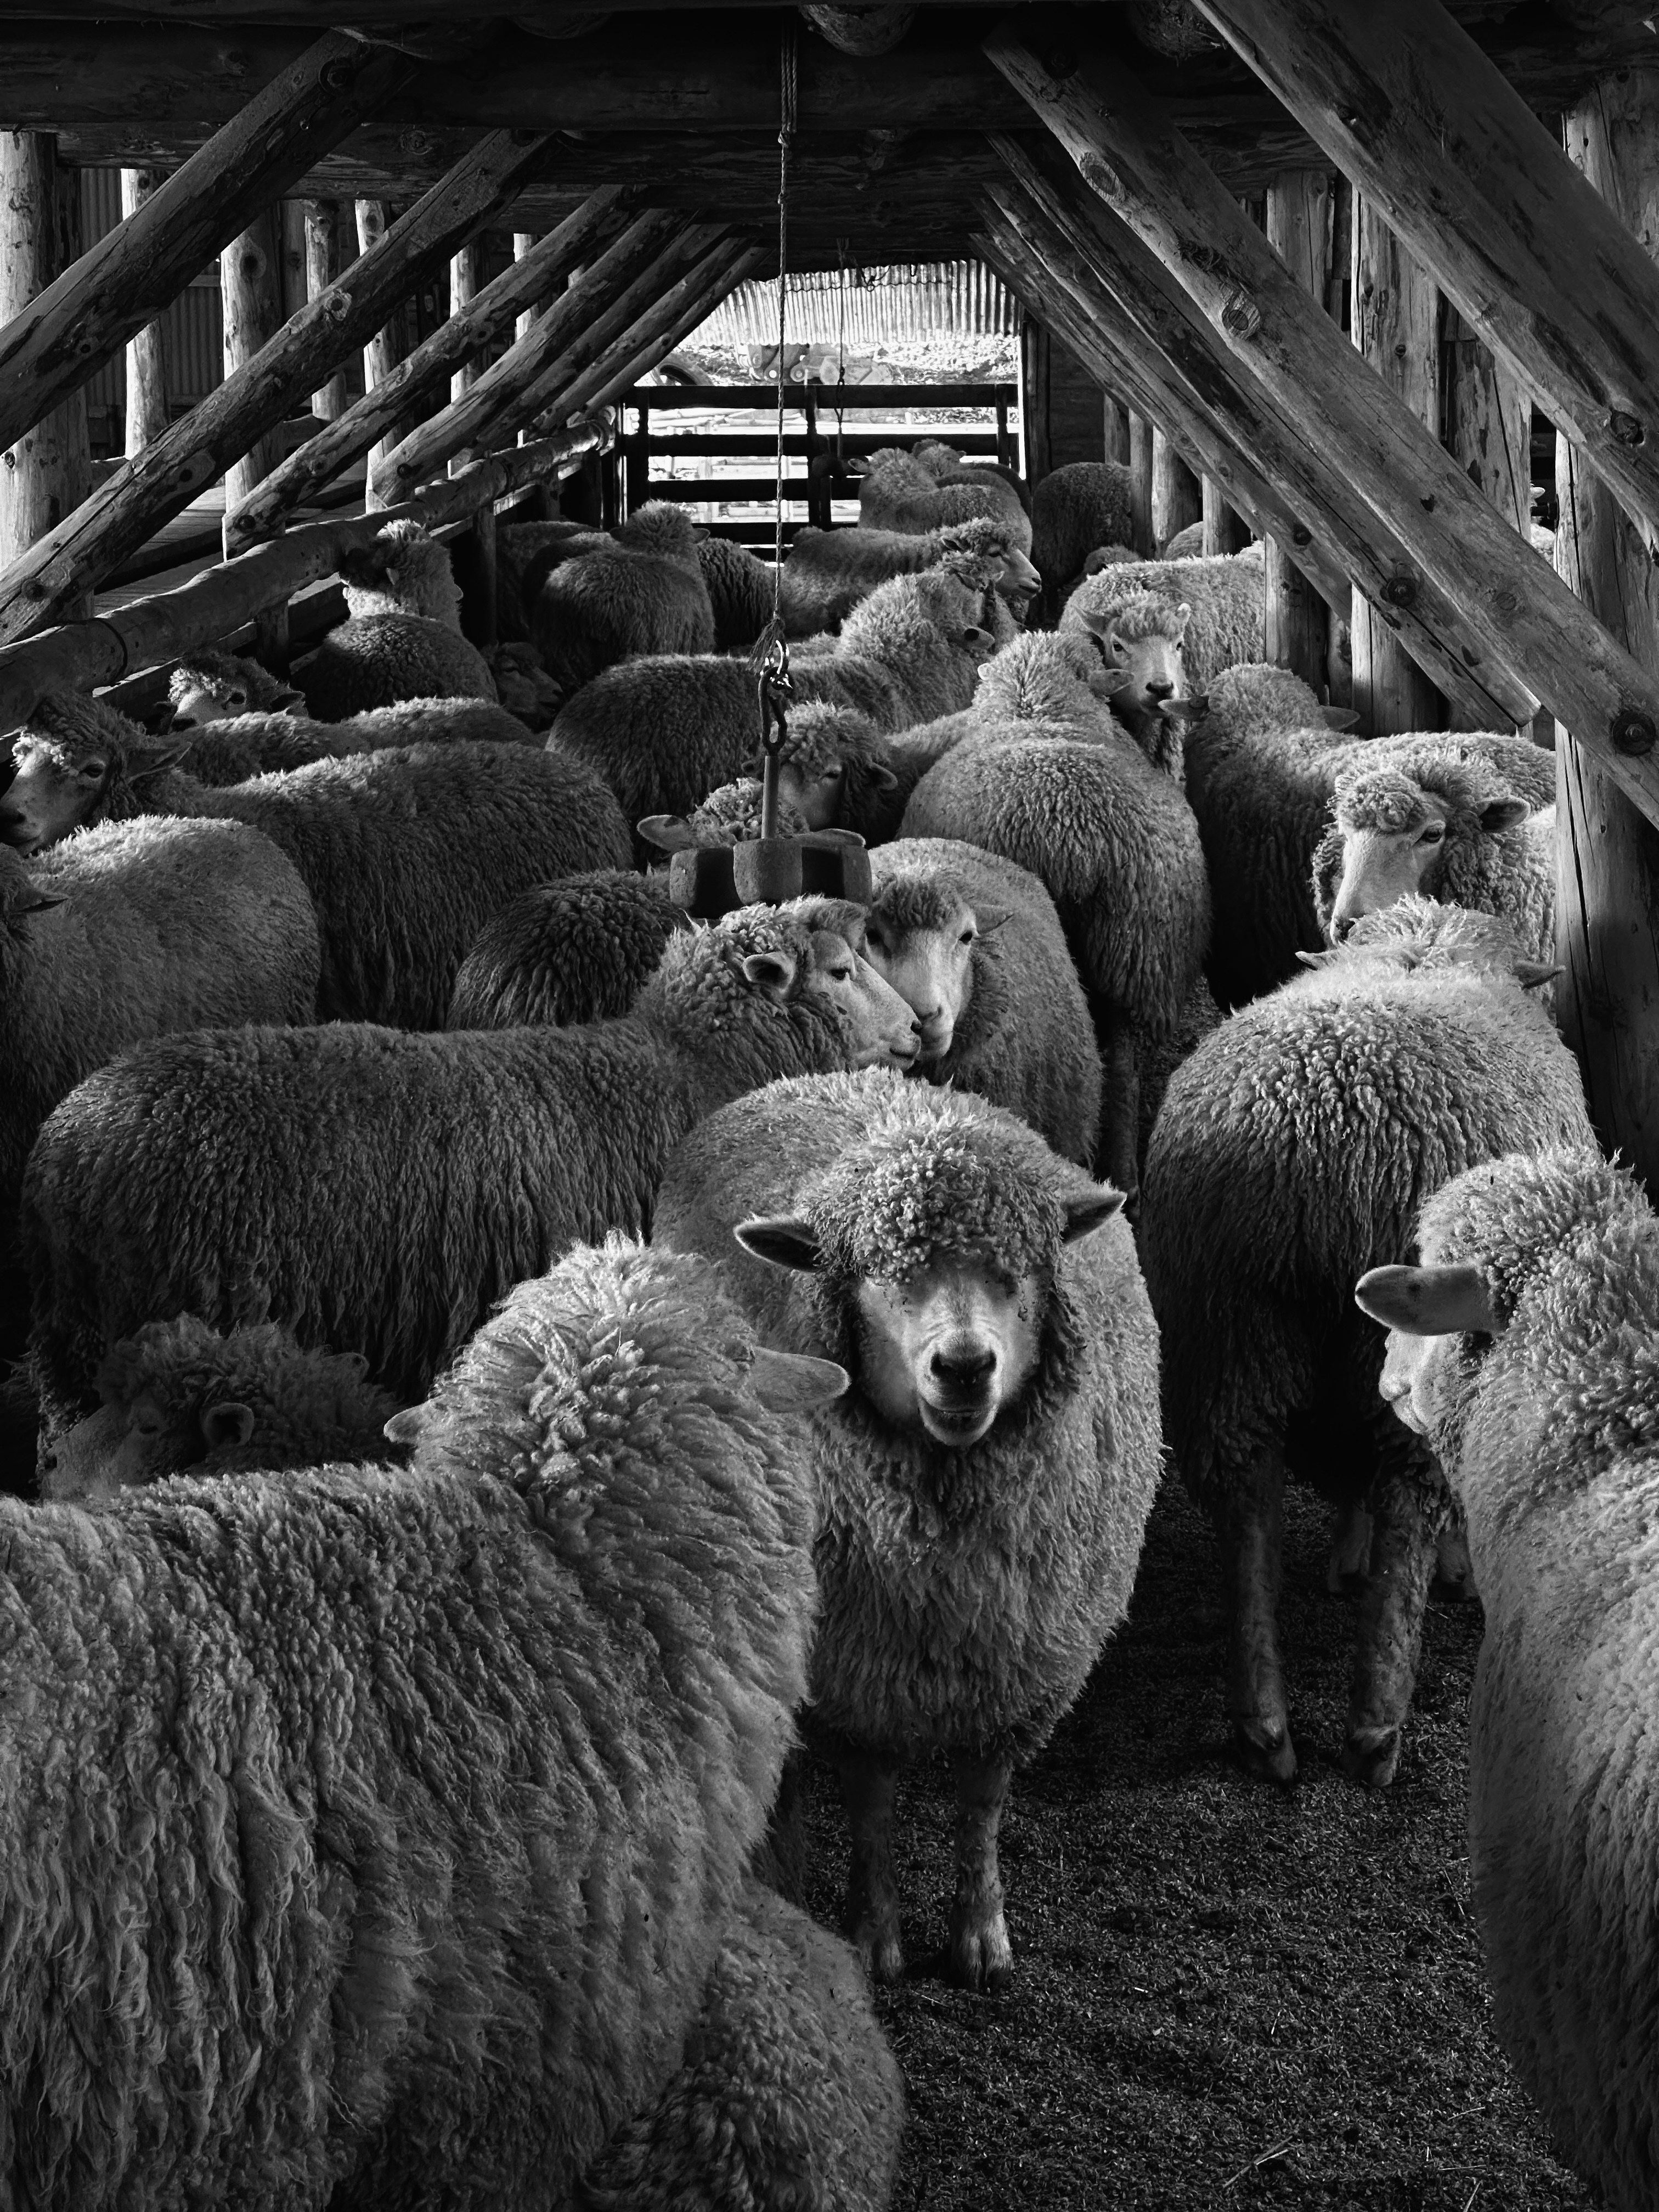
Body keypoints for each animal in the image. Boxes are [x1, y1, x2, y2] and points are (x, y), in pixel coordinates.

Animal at [654, 1071, 1162, 1990]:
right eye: (879, 1277)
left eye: (1012, 1275)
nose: (962, 1367)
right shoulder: (856, 1672)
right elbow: (871, 1804)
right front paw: (874, 1936)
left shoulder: (1019, 1669)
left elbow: (982, 1805)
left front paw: (981, 1934)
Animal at [902, 630, 1212, 1194]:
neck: (1037, 709)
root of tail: (1067, 838)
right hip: (1132, 948)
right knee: (1123, 1063)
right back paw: (1123, 1176)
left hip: (1128, 948)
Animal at [1138, 899, 1592, 1789]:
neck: (1424, 954)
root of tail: (1324, 1142)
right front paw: (1434, 1569)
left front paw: (1346, 1558)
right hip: (1391, 1336)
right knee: (1408, 1505)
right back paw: (1376, 1729)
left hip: (1229, 1331)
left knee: (1247, 1507)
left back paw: (1263, 1727)